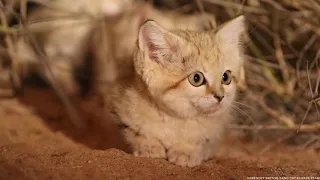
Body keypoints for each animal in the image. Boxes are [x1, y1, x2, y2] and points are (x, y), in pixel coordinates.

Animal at [106, 15, 246, 167]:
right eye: (196, 78)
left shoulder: (215, 134)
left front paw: (185, 150)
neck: (175, 119)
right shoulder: (119, 110)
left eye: (226, 77)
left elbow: (202, 142)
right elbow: (132, 133)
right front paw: (148, 146)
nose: (220, 96)